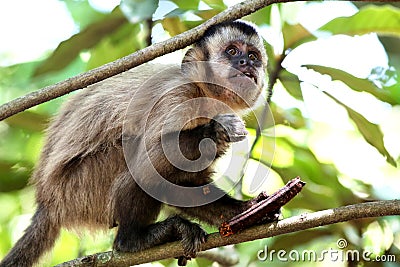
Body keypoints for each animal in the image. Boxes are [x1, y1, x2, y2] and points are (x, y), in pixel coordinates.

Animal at [0, 19, 272, 267]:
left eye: (253, 56)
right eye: (232, 51)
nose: (246, 63)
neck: (203, 92)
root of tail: (47, 202)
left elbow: (185, 183)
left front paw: (248, 211)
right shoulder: (176, 96)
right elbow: (155, 160)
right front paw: (216, 130)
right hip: (79, 191)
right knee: (138, 161)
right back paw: (132, 240)